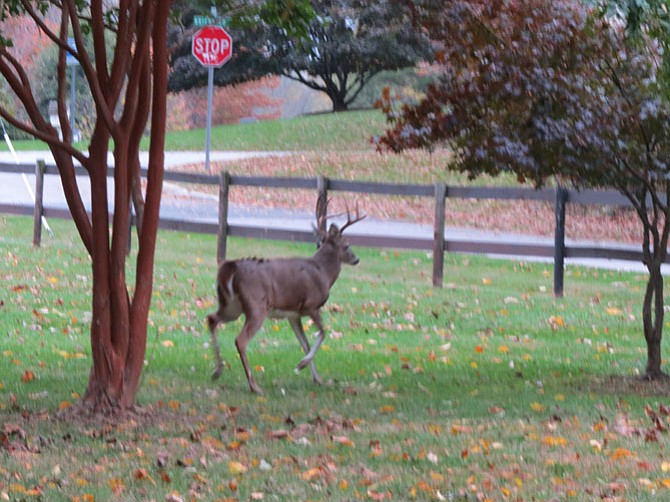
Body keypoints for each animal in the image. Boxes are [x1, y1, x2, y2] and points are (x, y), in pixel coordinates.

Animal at [209, 198, 370, 394]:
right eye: (346, 244)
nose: (356, 259)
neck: (323, 272)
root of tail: (230, 268)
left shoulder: (293, 314)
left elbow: (305, 343)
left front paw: (317, 378)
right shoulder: (311, 305)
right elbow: (323, 332)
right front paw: (302, 364)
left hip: (231, 305)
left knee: (211, 319)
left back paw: (217, 371)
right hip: (256, 306)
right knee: (240, 340)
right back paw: (254, 386)